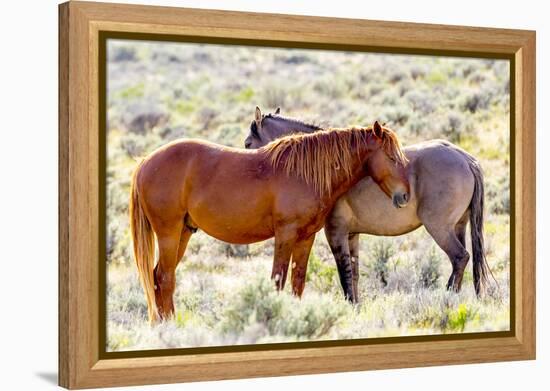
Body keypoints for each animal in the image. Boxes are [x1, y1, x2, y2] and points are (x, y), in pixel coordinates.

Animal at [132, 117, 412, 324]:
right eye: (392, 157)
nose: (405, 196)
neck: (304, 172)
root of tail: (146, 162)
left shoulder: (306, 237)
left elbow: (298, 280)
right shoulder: (285, 234)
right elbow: (278, 279)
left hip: (183, 233)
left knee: (158, 277)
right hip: (168, 233)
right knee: (165, 278)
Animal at [246, 107, 492, 304]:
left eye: (248, 143)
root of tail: (465, 159)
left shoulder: (335, 232)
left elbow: (344, 274)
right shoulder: (352, 234)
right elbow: (353, 274)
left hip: (439, 228)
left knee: (460, 258)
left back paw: (447, 296)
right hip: (459, 226)